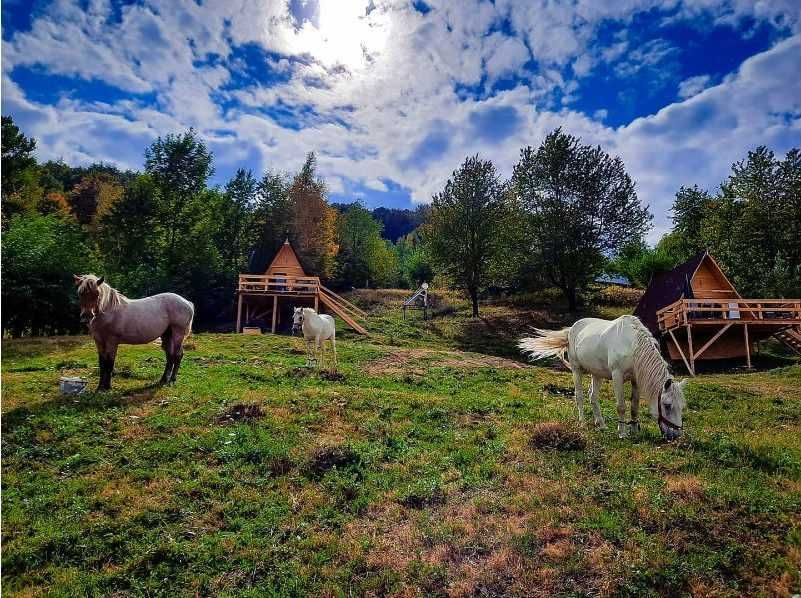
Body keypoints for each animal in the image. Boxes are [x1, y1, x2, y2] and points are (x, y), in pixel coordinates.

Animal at [520, 316, 684, 442]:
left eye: (682, 407)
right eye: (667, 405)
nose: (675, 436)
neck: (632, 345)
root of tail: (572, 328)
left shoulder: (635, 380)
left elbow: (634, 407)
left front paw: (634, 430)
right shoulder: (617, 376)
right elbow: (621, 406)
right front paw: (622, 433)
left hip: (596, 374)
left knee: (593, 396)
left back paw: (601, 424)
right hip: (576, 370)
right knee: (579, 396)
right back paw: (583, 423)